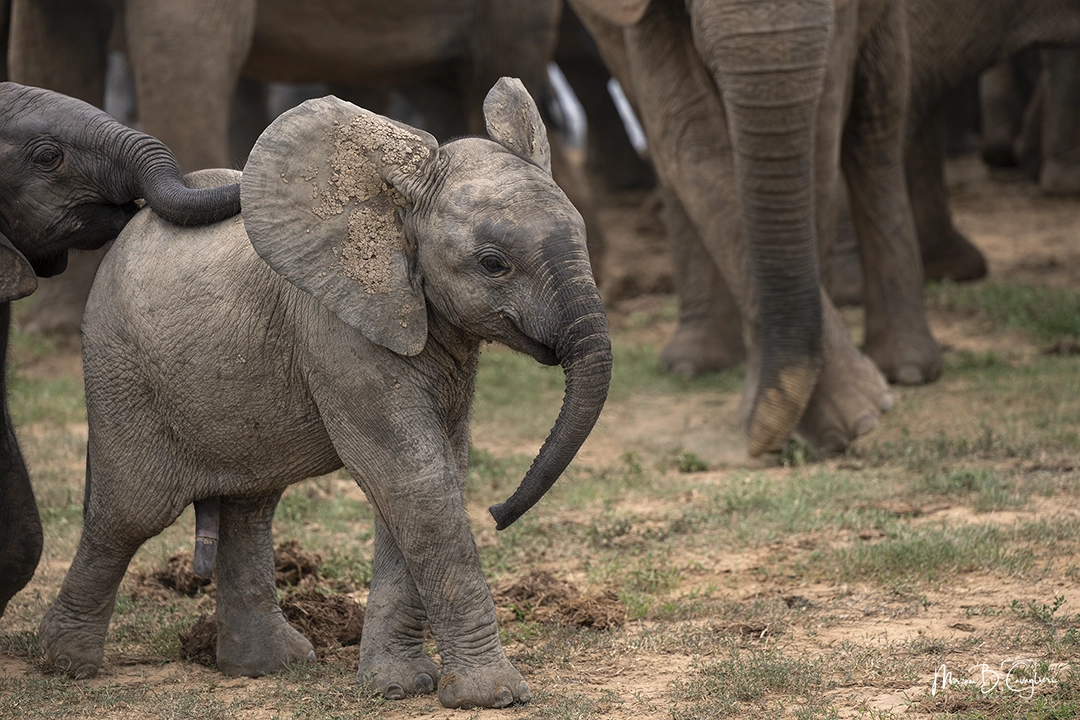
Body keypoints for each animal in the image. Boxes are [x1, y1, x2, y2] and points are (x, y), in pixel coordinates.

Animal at [38, 78, 612, 710]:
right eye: (493, 265)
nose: (499, 513)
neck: (396, 202)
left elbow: (431, 474)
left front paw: (397, 687)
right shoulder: (335, 328)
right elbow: (414, 476)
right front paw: (492, 697)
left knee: (250, 505)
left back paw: (269, 665)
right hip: (120, 367)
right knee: (128, 513)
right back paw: (64, 664)